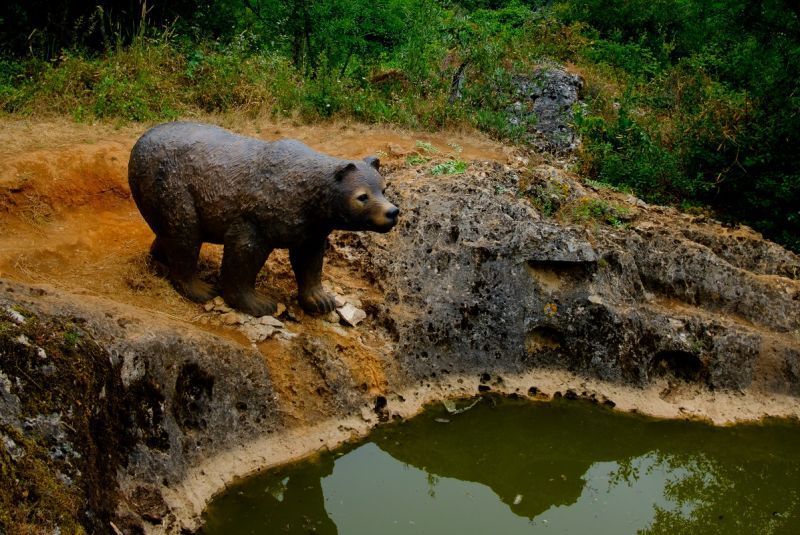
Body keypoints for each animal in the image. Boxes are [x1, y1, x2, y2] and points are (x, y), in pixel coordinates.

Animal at [128, 122, 399, 317]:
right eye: (362, 196)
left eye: (384, 189)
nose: (392, 212)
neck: (308, 198)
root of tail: (141, 140)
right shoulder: (257, 213)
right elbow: (244, 254)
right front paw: (258, 303)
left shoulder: (311, 228)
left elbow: (309, 259)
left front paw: (321, 300)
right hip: (171, 183)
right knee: (184, 231)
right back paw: (200, 287)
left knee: (169, 231)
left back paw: (159, 258)